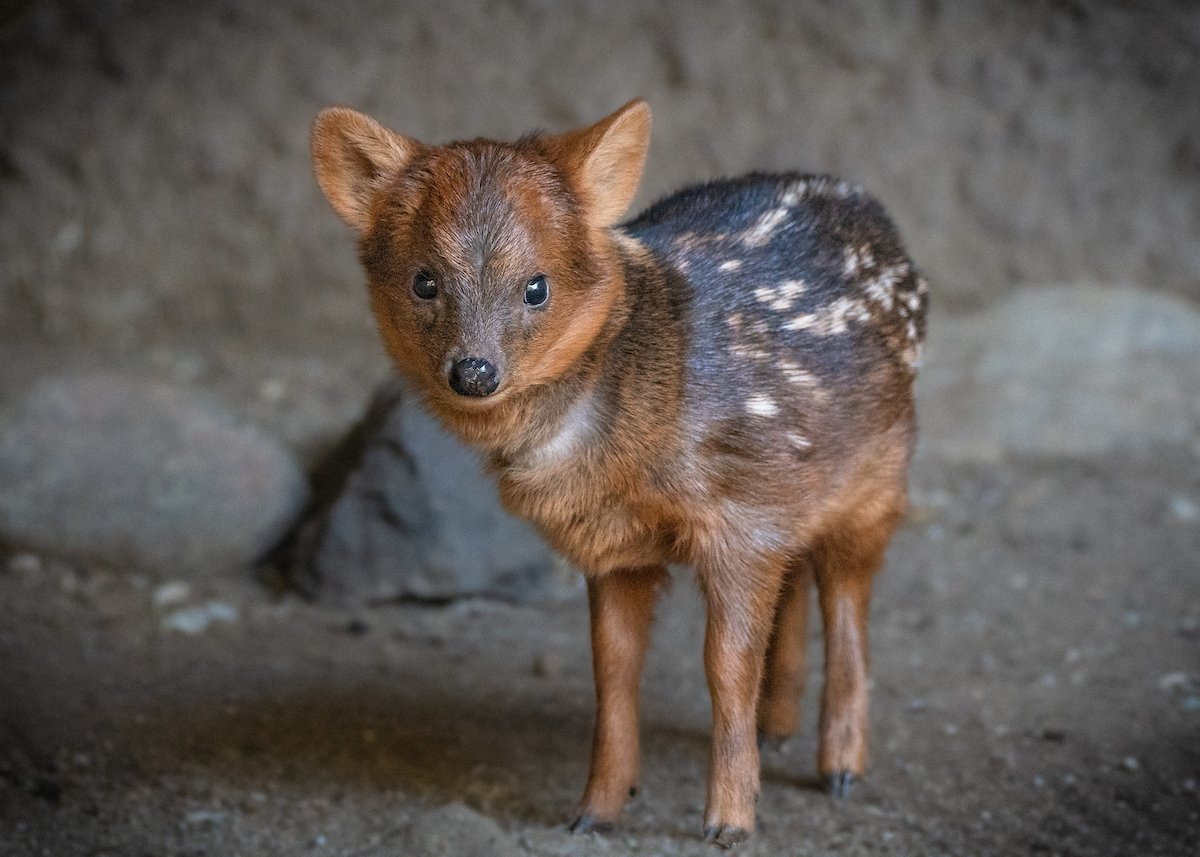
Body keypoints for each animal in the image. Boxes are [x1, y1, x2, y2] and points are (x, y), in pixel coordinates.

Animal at [309, 96, 926, 844]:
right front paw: (595, 808)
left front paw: (730, 820)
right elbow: (613, 668)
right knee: (802, 578)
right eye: (424, 280)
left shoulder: (742, 518)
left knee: (847, 599)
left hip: (878, 478)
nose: (474, 371)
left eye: (536, 286)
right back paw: (777, 726)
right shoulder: (616, 545)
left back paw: (839, 765)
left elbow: (724, 667)